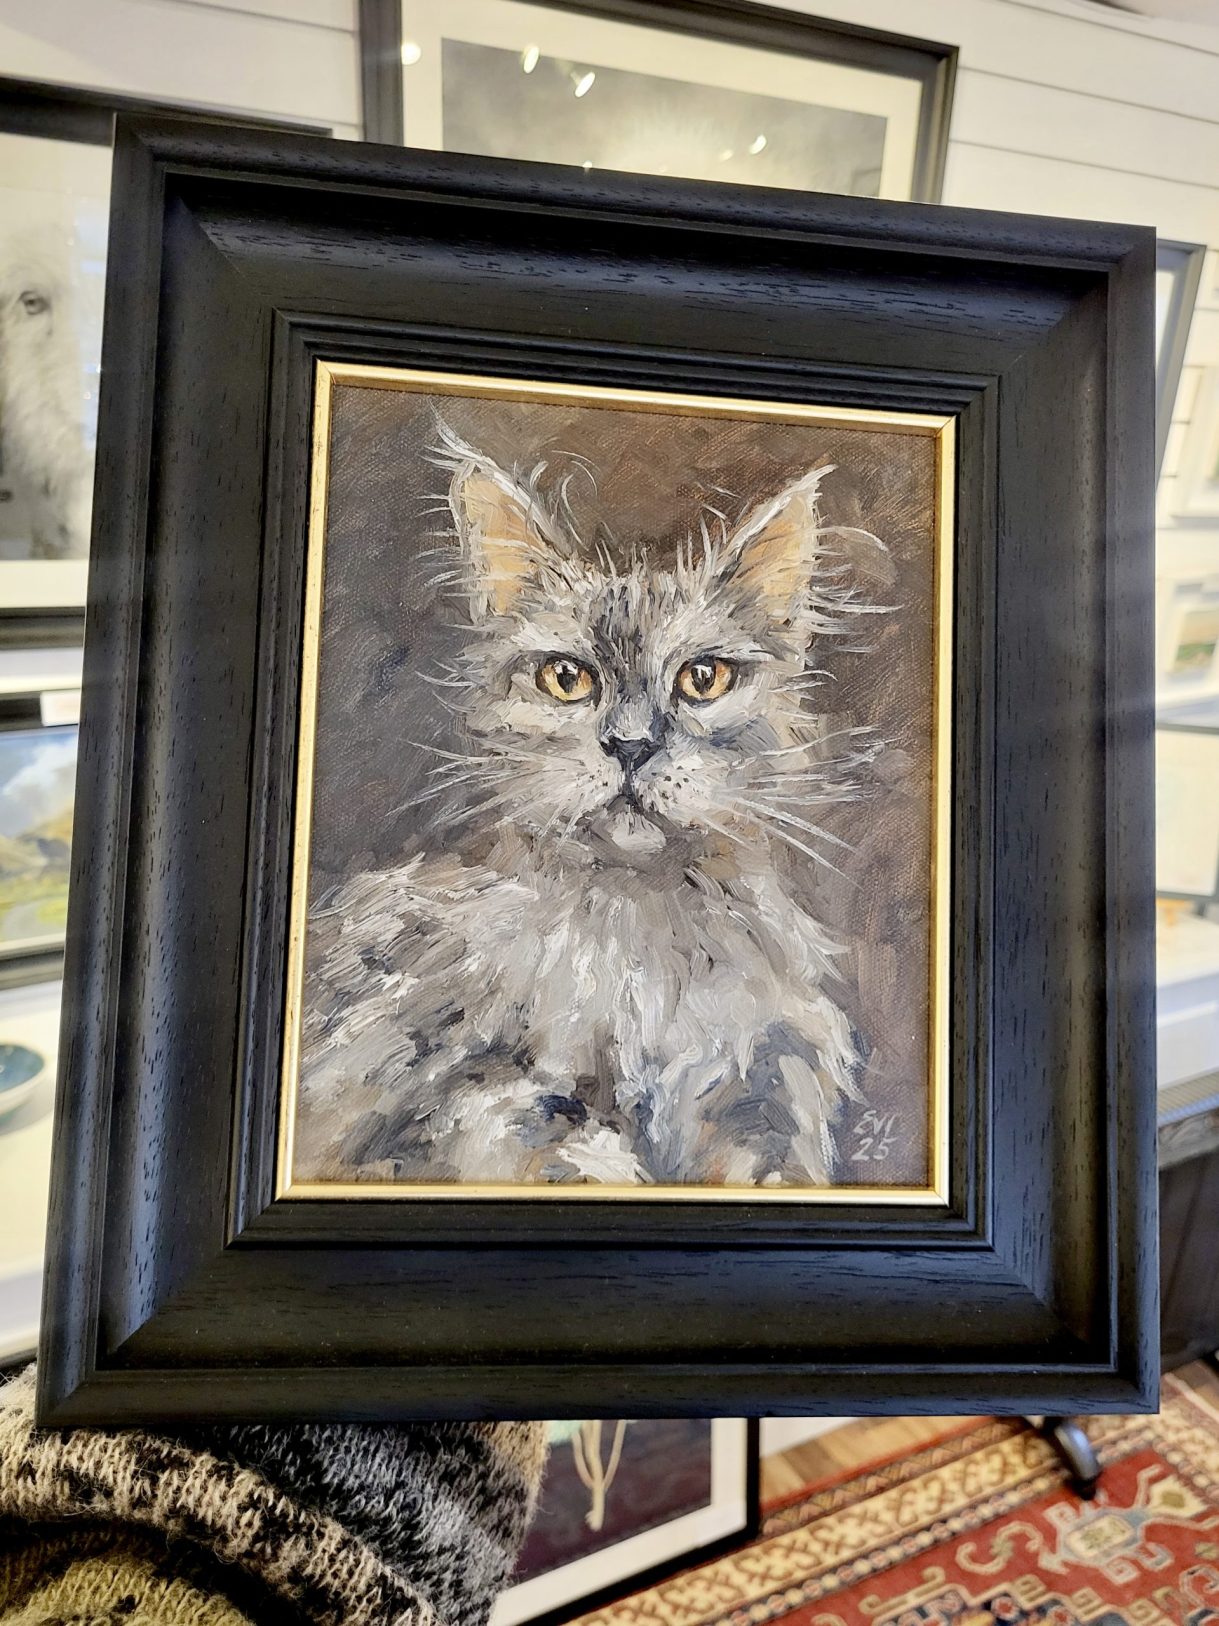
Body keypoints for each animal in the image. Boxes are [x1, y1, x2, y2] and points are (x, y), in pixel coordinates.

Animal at [294, 422, 890, 1188]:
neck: (643, 952)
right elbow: (552, 1135)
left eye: (703, 679)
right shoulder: (439, 1096)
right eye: (566, 678)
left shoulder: (767, 1085)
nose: (630, 746)